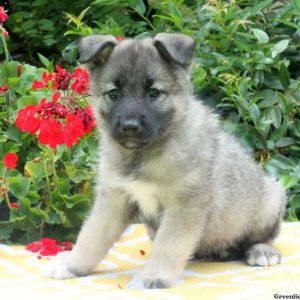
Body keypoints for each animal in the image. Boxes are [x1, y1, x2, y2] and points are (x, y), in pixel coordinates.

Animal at [44, 32, 286, 288]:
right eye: (114, 93)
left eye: (153, 93)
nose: (129, 127)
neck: (145, 154)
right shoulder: (114, 199)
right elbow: (91, 236)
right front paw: (71, 265)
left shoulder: (184, 205)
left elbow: (168, 246)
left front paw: (153, 277)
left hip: (271, 199)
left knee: (262, 237)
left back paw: (261, 251)